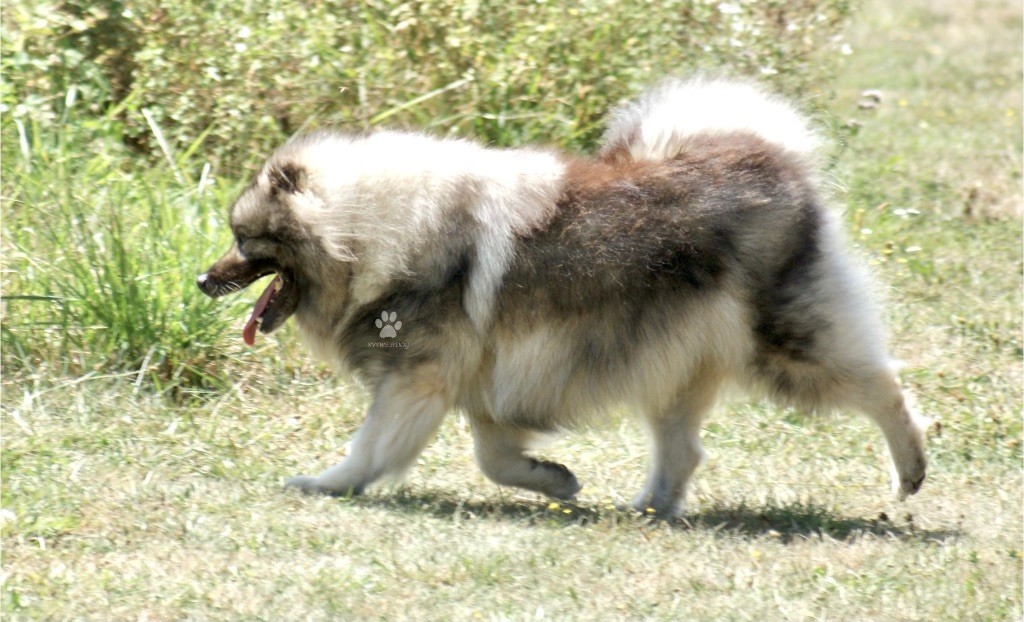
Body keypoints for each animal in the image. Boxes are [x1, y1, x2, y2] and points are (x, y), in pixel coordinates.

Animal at [197, 77, 929, 516]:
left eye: (244, 240)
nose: (204, 280)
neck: (371, 232)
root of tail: (771, 160)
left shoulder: (416, 383)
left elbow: (371, 450)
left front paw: (325, 484)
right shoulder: (483, 387)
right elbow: (494, 458)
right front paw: (555, 480)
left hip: (787, 347)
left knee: (883, 387)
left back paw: (910, 471)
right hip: (672, 360)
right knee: (682, 451)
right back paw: (647, 509)